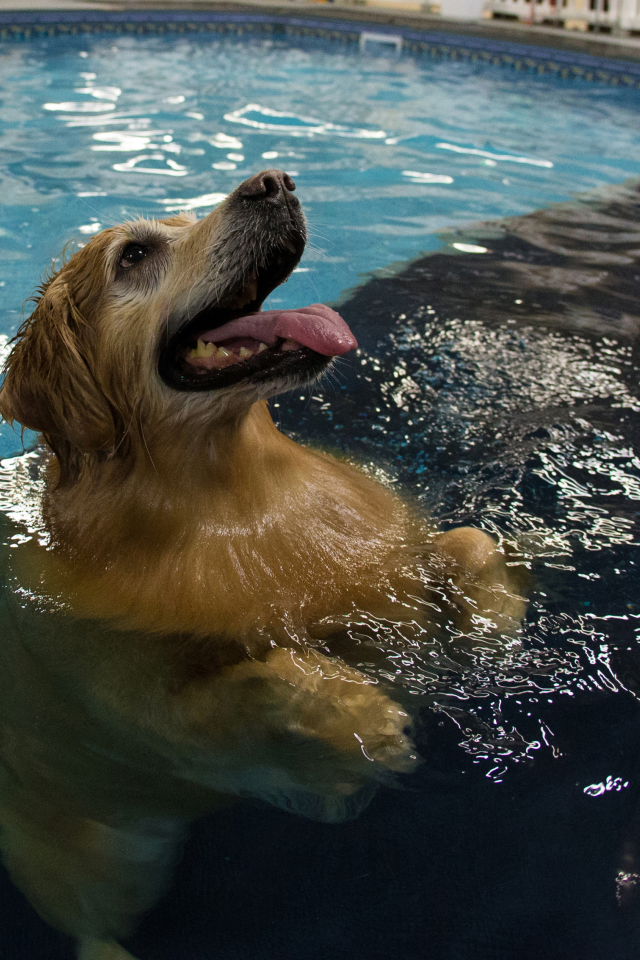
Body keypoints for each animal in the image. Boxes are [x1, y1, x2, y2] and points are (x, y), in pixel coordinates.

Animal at [0, 169, 524, 956]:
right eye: (133, 256)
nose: (274, 182)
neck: (241, 494)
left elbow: (469, 541)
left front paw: (497, 624)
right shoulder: (148, 713)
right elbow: (269, 671)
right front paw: (362, 720)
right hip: (92, 858)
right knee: (95, 933)